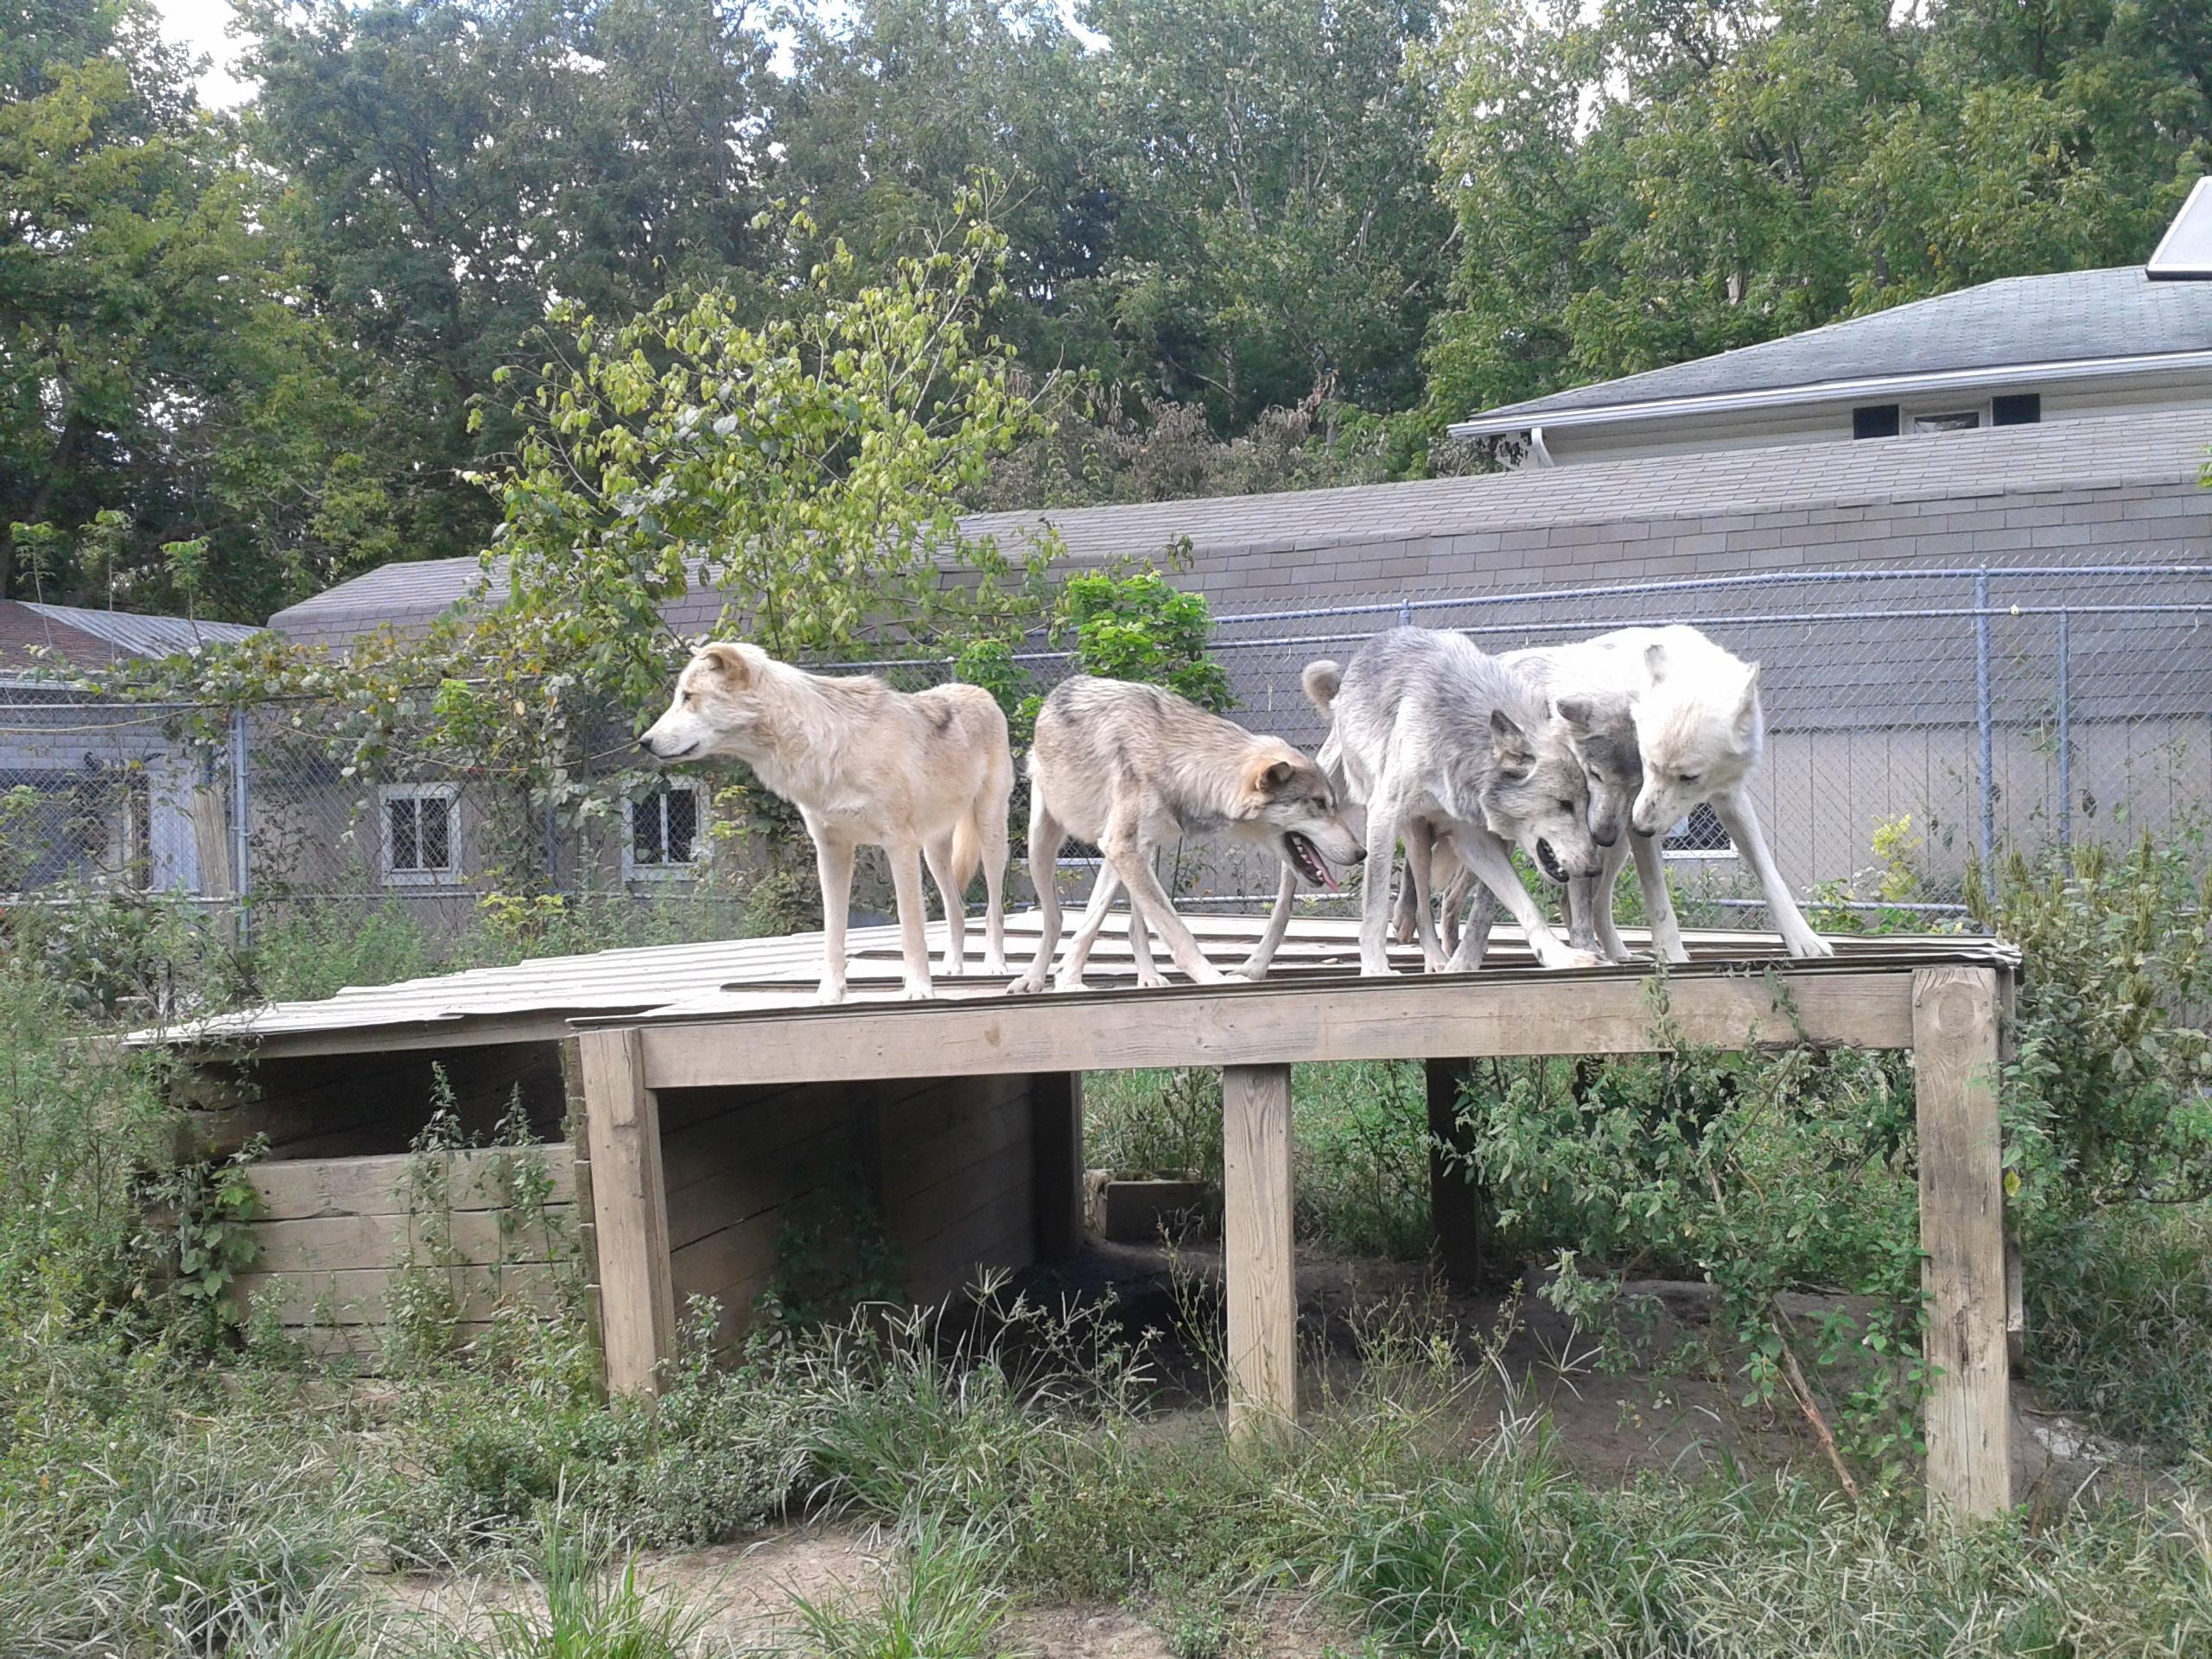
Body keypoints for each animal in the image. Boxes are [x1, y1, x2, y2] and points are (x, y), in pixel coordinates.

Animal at [639, 642, 1013, 1003]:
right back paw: (952, 966)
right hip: (935, 854)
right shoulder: (832, 850)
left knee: (993, 908)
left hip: (990, 837)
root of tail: (978, 691)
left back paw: (995, 965)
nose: (644, 742)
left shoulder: (899, 847)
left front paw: (919, 989)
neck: (830, 748)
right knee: (957, 908)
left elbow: (911, 928)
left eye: (688, 696)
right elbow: (833, 931)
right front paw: (829, 994)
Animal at [1008, 675, 1363, 995]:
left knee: (1131, 926)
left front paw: (1068, 978)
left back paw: (1149, 977)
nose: (1362, 853)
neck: (1181, 762)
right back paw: (1033, 979)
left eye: (1334, 804)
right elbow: (1176, 931)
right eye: (1319, 804)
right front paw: (1214, 979)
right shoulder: (1121, 847)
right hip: (1043, 849)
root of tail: (1055, 693)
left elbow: (1098, 924)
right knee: (1055, 921)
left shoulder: (1125, 850)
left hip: (1134, 855)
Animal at [1308, 628, 1607, 975]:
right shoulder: (1384, 817)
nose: (1593, 869)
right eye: (1564, 804)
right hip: (1388, 827)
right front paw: (1375, 968)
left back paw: (1437, 958)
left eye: (1585, 804)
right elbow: (1374, 909)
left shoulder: (1472, 838)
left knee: (1423, 907)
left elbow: (1525, 904)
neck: (1458, 738)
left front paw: (1560, 956)